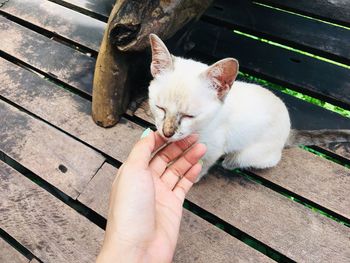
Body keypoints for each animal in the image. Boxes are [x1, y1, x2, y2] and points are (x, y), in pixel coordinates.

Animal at [148, 34, 350, 182]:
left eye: (189, 116)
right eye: (160, 108)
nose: (167, 133)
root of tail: (289, 130)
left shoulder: (213, 148)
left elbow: (202, 165)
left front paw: (192, 177)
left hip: (249, 155)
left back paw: (230, 162)